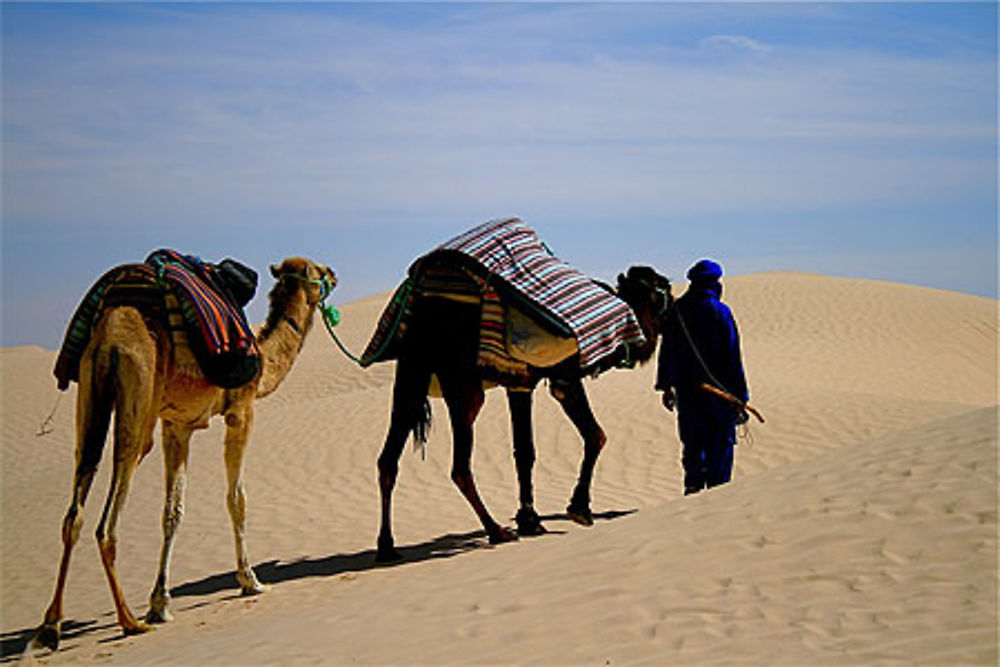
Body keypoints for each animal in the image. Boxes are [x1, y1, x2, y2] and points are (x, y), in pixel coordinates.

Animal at [35, 258, 336, 652]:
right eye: (318, 271)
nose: (334, 275)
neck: (263, 361)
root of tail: (110, 335)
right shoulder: (241, 410)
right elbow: (236, 499)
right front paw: (250, 580)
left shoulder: (177, 426)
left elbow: (172, 511)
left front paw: (160, 602)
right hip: (137, 402)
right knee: (107, 522)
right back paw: (129, 621)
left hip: (90, 397)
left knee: (74, 511)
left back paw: (51, 626)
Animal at [376, 266, 672, 564]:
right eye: (665, 289)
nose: (676, 308)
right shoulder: (564, 378)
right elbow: (595, 436)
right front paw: (579, 509)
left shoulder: (519, 382)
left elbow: (524, 451)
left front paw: (529, 520)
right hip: (462, 385)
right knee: (459, 466)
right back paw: (496, 531)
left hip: (412, 374)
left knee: (389, 457)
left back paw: (387, 547)